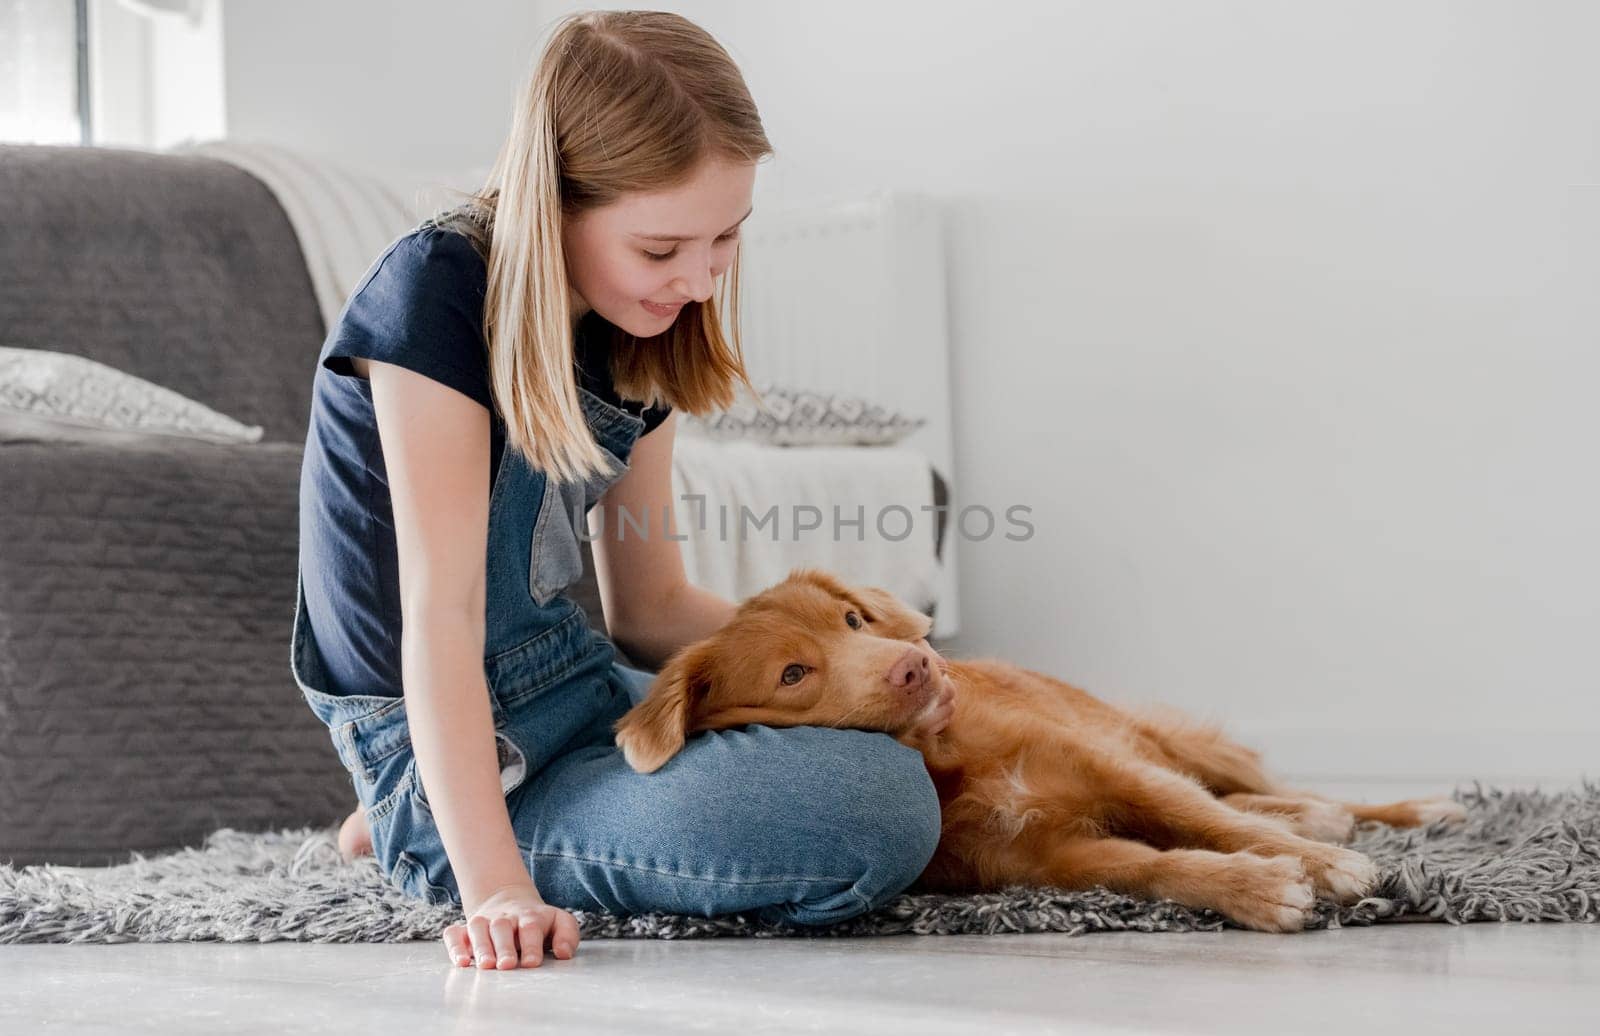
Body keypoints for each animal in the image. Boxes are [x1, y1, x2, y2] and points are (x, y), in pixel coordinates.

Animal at [611, 565, 1465, 933]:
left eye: (852, 621)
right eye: (794, 673)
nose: (918, 665)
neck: (955, 761)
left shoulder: (1116, 769)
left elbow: (1216, 824)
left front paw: (1323, 866)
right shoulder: (1050, 860)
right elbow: (1160, 867)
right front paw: (1255, 889)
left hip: (1165, 739)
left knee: (1247, 787)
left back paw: (1403, 810)